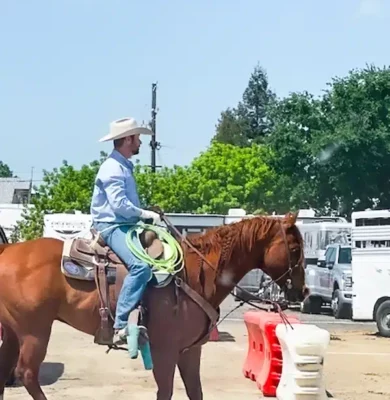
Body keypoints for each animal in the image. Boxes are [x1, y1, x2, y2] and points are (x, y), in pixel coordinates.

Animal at [0, 211, 306, 398]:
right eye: (294, 249)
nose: (302, 291)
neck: (194, 274)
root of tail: (8, 249)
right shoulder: (165, 352)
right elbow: (166, 391)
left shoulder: (189, 351)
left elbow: (195, 391)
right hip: (35, 331)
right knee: (26, 373)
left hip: (14, 332)